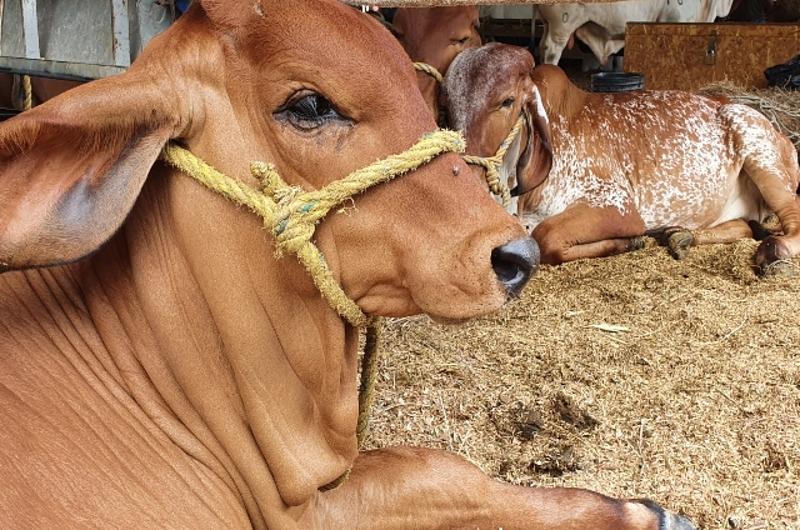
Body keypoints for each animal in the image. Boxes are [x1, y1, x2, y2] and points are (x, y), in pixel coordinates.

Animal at [444, 43, 800, 270]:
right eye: (447, 102)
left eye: (506, 101)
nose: (465, 173)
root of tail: (782, 135)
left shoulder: (617, 207)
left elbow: (546, 237)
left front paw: (629, 242)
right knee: (743, 226)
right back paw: (681, 236)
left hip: (760, 155)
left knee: (791, 218)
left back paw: (775, 250)